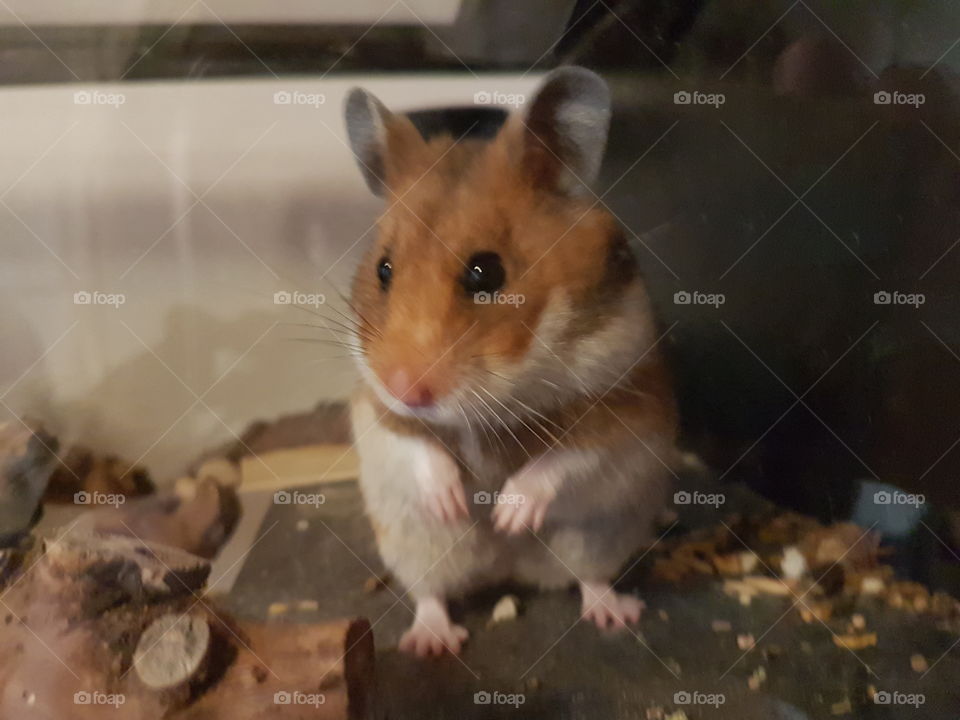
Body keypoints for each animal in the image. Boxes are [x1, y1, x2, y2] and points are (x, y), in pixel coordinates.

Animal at [343, 67, 679, 657]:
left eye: (487, 272)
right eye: (384, 269)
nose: (406, 387)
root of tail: (507, 572)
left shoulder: (622, 405)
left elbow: (564, 460)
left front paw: (506, 513)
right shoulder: (377, 410)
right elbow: (417, 447)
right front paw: (454, 503)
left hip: (600, 538)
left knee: (589, 578)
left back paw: (614, 612)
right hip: (415, 548)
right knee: (431, 593)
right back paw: (432, 641)